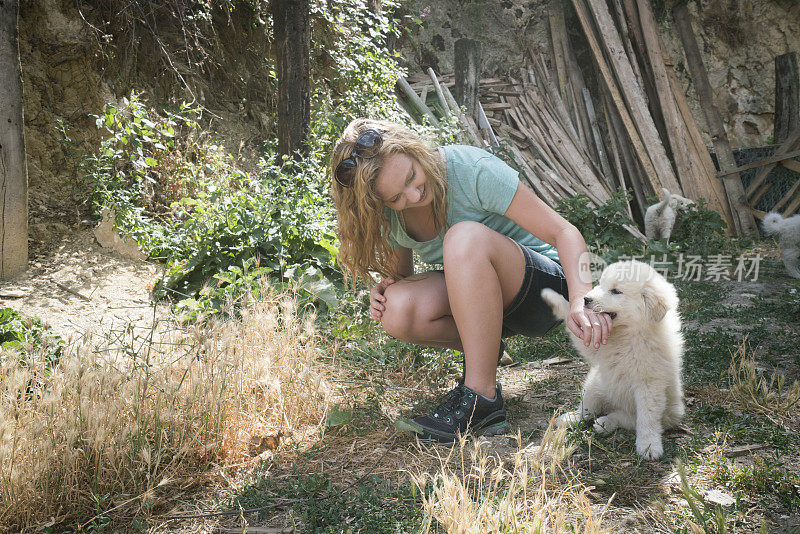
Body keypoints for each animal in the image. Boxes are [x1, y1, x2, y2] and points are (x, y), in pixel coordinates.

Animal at [540, 260, 684, 460]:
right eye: (602, 284)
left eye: (616, 291)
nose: (586, 299)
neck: (627, 333)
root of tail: (613, 404)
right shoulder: (595, 345)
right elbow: (573, 321)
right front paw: (551, 297)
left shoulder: (649, 384)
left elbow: (647, 418)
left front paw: (649, 446)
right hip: (595, 384)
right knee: (588, 408)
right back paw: (571, 418)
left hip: (665, 413)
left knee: (627, 418)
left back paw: (605, 423)